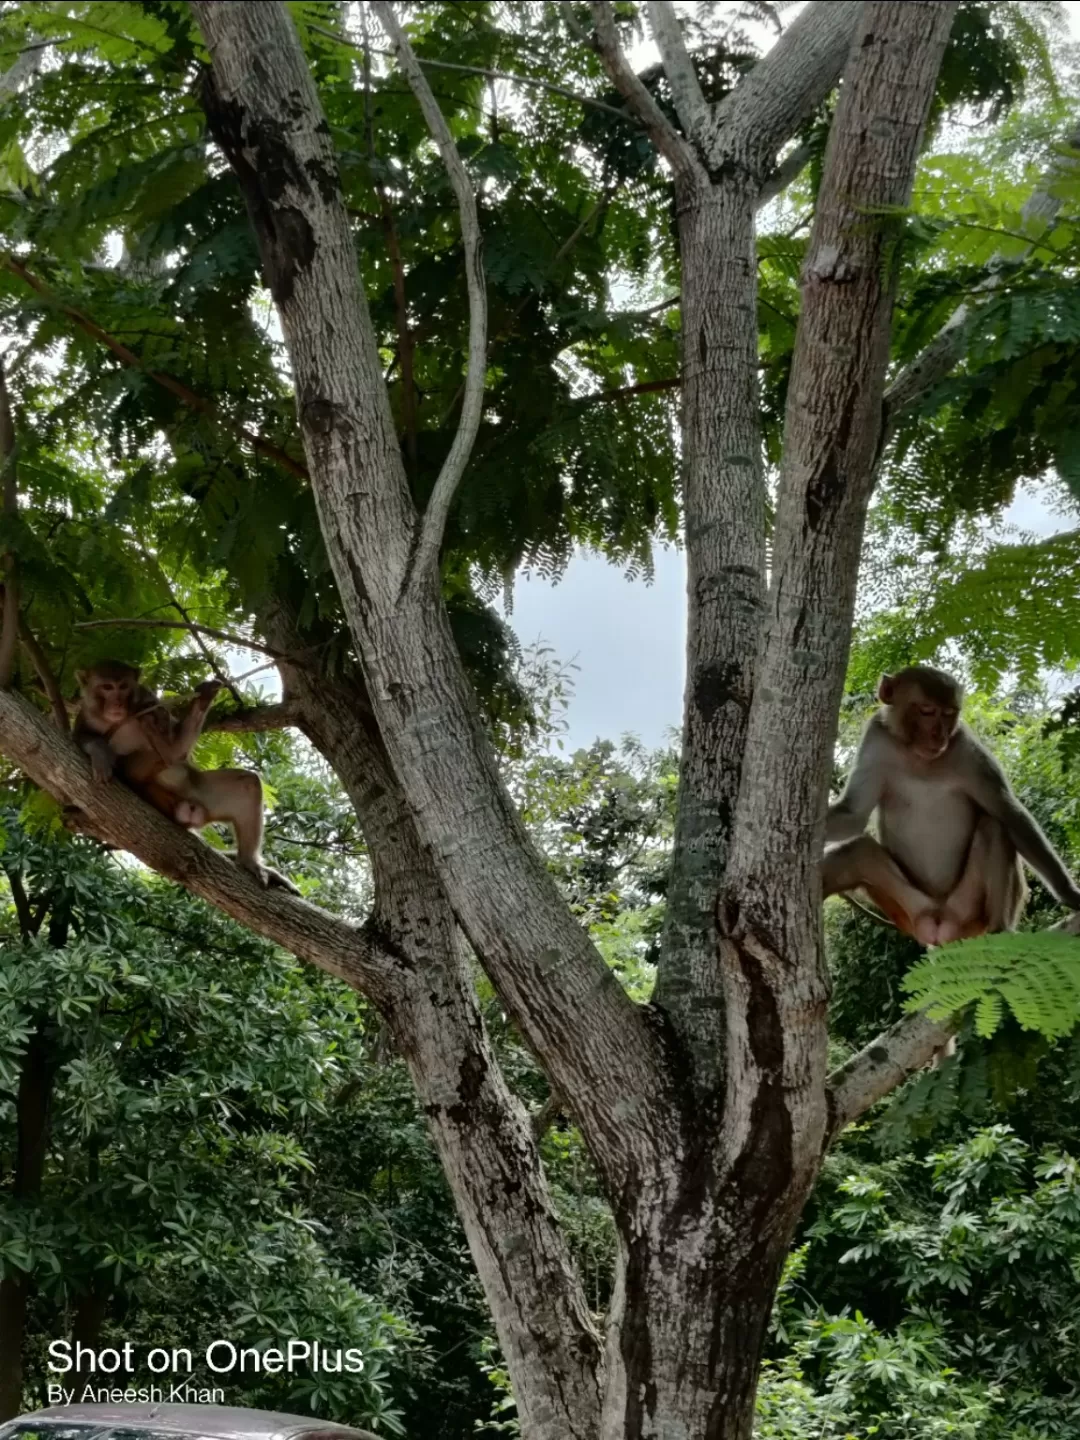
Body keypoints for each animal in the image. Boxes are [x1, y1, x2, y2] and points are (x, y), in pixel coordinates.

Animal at [74, 659, 298, 887]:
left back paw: (248, 862)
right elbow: (79, 740)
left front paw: (204, 697)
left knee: (247, 784)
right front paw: (100, 753)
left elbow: (175, 752)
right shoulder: (86, 714)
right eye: (107, 687)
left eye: (123, 687)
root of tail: (188, 812)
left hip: (204, 793)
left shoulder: (150, 700)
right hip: (162, 800)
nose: (117, 704)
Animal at [823, 668, 1077, 950]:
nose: (939, 735)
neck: (919, 757)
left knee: (994, 826)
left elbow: (1008, 814)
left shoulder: (967, 749)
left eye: (948, 713)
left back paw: (1000, 928)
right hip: (908, 908)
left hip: (968, 911)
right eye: (926, 710)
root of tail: (940, 926)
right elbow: (854, 815)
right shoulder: (876, 738)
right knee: (857, 853)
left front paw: (1070, 894)